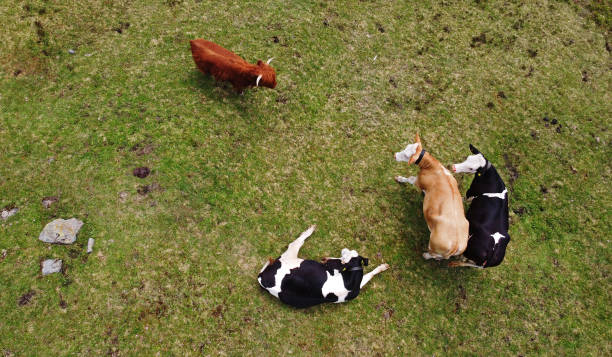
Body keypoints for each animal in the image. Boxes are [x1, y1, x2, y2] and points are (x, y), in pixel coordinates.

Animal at [256, 225, 390, 306]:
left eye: (344, 258)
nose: (324, 259)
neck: (350, 284)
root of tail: (263, 278)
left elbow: (370, 274)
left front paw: (382, 267)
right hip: (290, 255)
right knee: (296, 242)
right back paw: (310, 230)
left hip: (290, 256)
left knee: (296, 242)